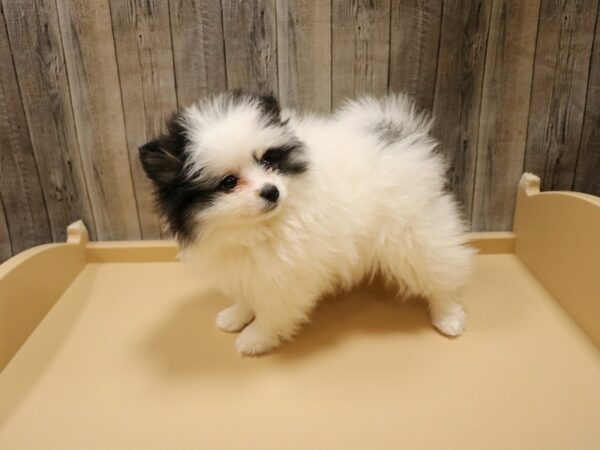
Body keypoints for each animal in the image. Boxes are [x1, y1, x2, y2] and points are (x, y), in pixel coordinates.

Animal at [139, 90, 474, 356]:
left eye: (268, 162)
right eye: (229, 182)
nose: (271, 191)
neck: (258, 228)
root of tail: (398, 132)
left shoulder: (287, 273)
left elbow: (274, 311)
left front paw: (255, 338)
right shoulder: (250, 267)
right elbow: (247, 294)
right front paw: (236, 316)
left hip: (412, 233)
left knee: (440, 272)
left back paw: (448, 317)